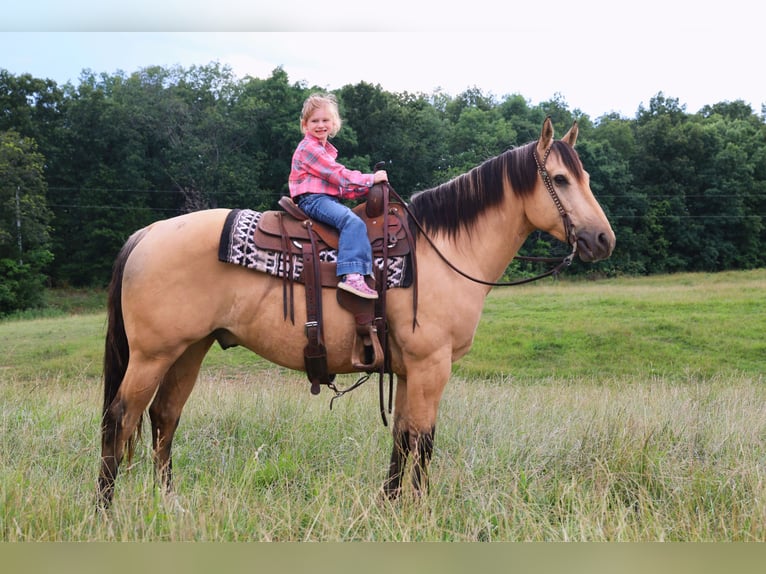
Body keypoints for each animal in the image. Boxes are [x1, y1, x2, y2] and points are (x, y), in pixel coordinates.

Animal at [98, 117, 615, 506]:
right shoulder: (431, 368)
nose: (603, 239)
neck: (443, 251)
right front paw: (419, 511)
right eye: (561, 179)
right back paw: (106, 510)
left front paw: (390, 505)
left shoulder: (406, 372)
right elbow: (424, 441)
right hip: (152, 355)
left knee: (164, 418)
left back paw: (169, 504)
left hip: (189, 350)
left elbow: (402, 439)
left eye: (587, 178)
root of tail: (147, 233)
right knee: (119, 419)